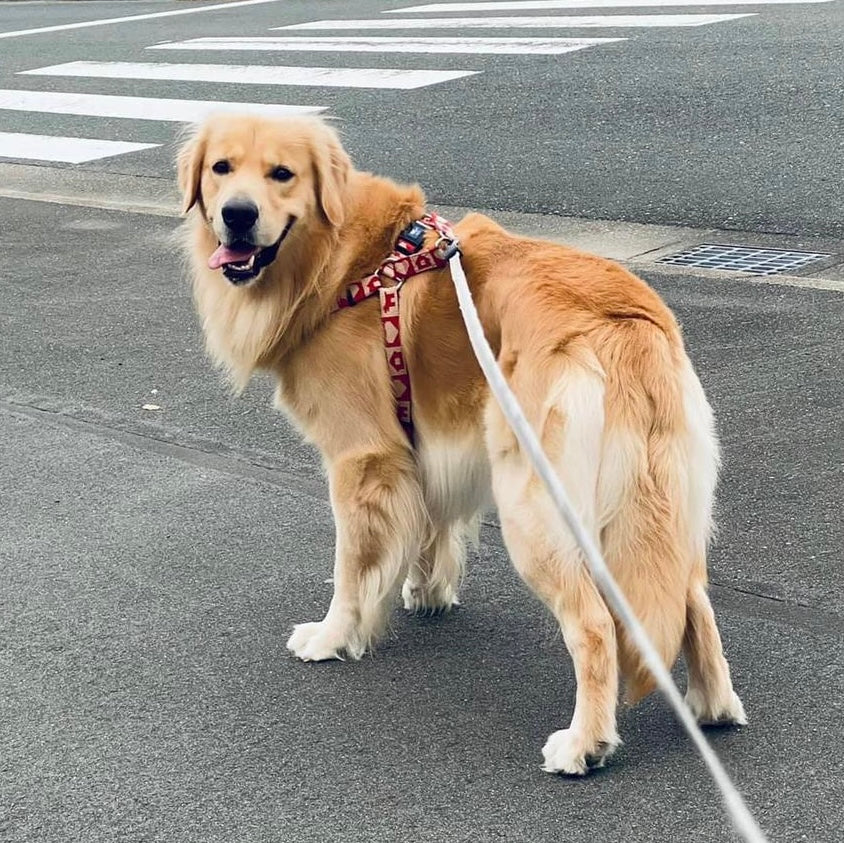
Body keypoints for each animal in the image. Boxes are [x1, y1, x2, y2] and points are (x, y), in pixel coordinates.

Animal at [178, 115, 744, 776]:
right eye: (222, 168)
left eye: (282, 174)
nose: (237, 215)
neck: (342, 262)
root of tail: (623, 322)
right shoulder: (423, 444)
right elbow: (431, 522)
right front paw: (426, 591)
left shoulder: (361, 459)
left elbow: (350, 566)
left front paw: (333, 636)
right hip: (663, 507)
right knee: (694, 599)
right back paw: (713, 707)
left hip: (535, 507)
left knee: (595, 625)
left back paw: (584, 743)